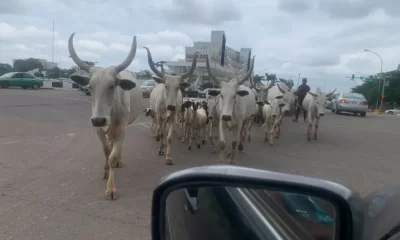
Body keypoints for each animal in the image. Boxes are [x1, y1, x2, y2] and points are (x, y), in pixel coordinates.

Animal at [68, 32, 142, 200]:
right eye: (90, 86)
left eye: (112, 85)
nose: (99, 119)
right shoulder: (98, 130)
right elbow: (106, 151)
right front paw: (106, 171)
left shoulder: (121, 128)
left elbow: (112, 156)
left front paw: (111, 189)